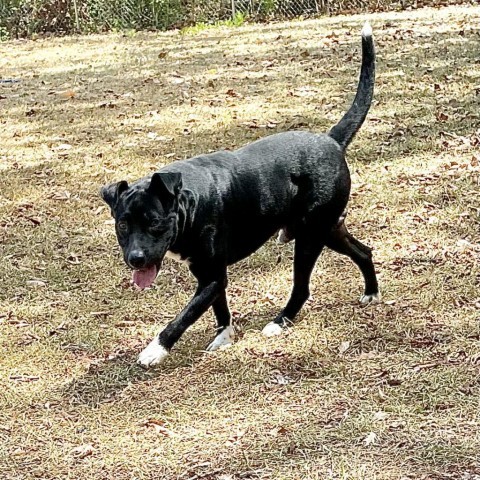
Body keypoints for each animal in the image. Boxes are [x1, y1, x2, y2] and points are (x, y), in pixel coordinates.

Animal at [101, 23, 378, 368]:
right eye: (123, 225)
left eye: (154, 223)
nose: (135, 259)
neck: (189, 201)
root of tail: (331, 140)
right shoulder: (207, 273)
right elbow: (220, 309)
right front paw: (223, 337)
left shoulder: (212, 276)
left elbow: (184, 316)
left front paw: (156, 349)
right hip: (327, 229)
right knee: (363, 251)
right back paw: (371, 292)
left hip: (311, 237)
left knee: (301, 287)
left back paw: (280, 322)